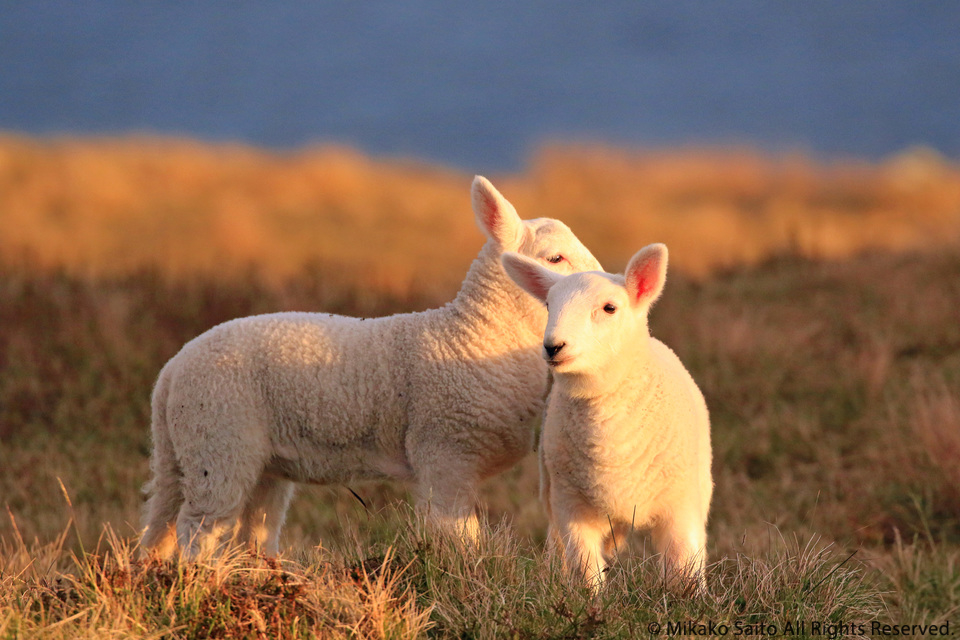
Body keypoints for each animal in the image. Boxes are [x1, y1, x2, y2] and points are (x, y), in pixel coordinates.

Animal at [139, 176, 604, 560]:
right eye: (556, 258)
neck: (473, 333)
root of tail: (171, 372)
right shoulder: (445, 454)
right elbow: (463, 538)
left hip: (232, 459)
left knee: (232, 529)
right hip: (217, 440)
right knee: (200, 527)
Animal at [502, 244, 712, 592]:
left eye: (609, 308)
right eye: (548, 304)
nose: (553, 346)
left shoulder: (679, 506)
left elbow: (683, 564)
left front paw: (689, 600)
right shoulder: (570, 504)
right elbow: (586, 567)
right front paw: (591, 602)